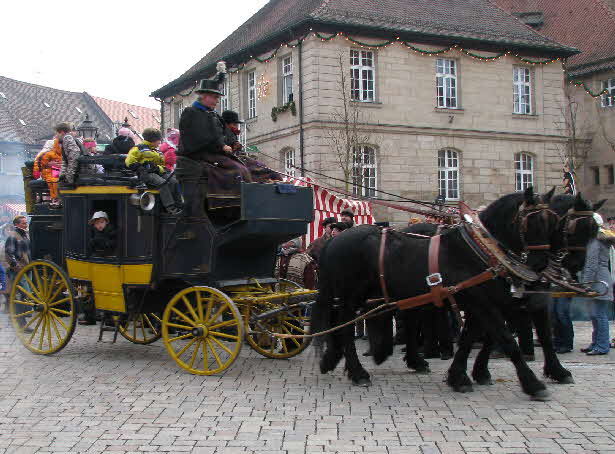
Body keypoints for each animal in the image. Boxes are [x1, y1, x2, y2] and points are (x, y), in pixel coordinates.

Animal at [312, 186, 560, 400]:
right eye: (531, 221)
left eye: (552, 222)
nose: (540, 265)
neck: (478, 248)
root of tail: (334, 240)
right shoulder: (481, 301)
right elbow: (506, 339)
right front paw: (533, 384)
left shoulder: (480, 302)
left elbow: (470, 338)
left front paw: (459, 376)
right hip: (350, 295)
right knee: (344, 327)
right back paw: (358, 372)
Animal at [446, 190, 604, 392]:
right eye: (572, 228)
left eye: (593, 230)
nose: (576, 265)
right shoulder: (489, 302)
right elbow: (493, 334)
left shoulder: (520, 301)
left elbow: (542, 335)